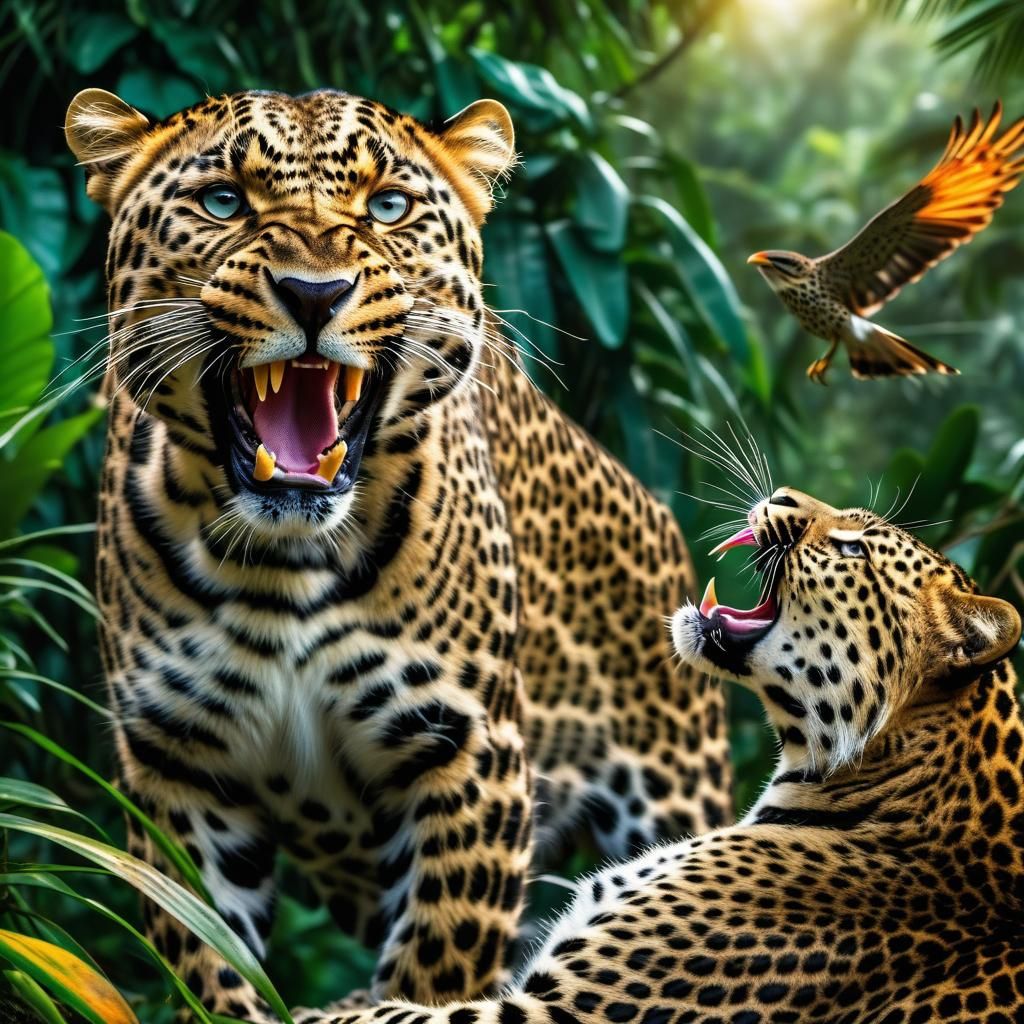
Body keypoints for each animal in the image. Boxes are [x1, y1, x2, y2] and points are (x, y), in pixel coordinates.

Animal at [62, 87, 729, 1020]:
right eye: (223, 201)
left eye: (387, 208)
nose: (313, 294)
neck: (285, 561)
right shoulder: (179, 762)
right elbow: (210, 959)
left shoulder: (469, 751)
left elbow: (438, 965)